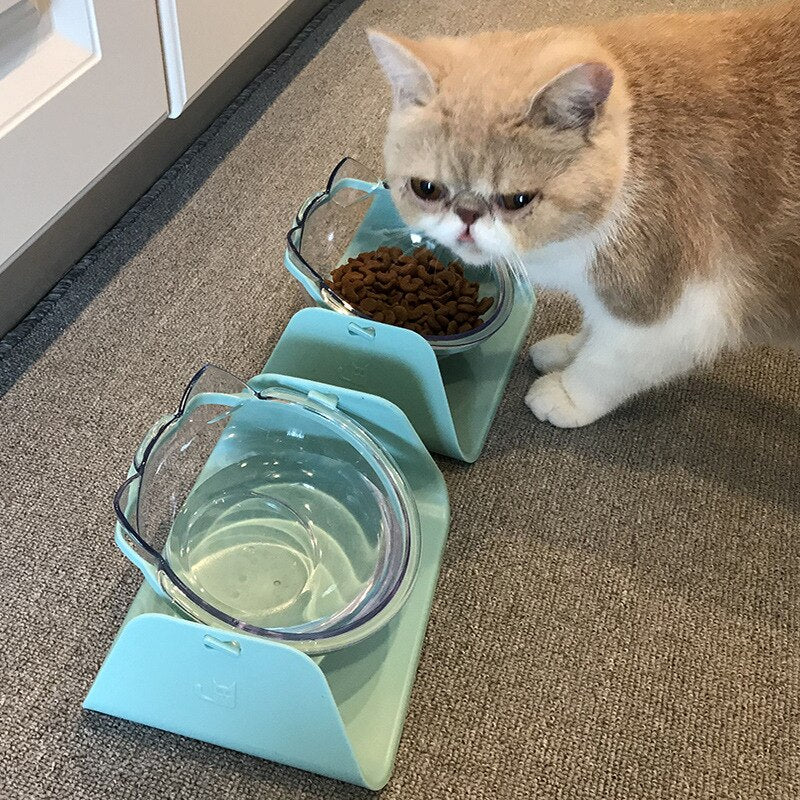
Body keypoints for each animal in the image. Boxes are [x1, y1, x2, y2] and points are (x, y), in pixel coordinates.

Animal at [368, 3, 800, 428]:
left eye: (518, 200)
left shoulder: (676, 316)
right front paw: (569, 350)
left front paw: (566, 393)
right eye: (426, 189)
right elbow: (594, 328)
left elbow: (606, 364)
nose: (467, 217)